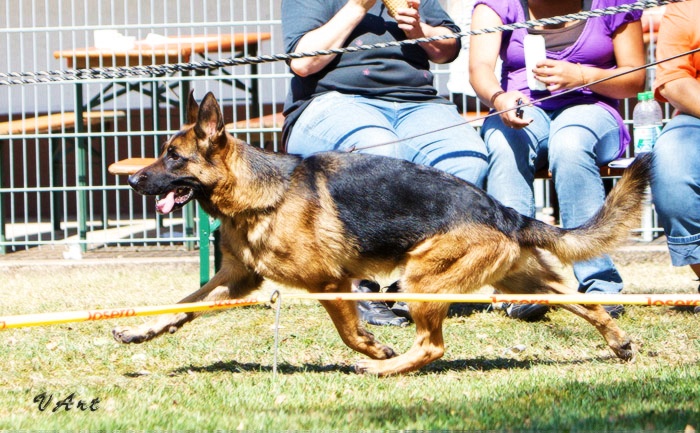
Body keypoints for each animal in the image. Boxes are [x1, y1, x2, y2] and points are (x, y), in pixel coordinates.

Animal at [112, 92, 652, 374]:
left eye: (173, 157)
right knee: (583, 301)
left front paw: (373, 349)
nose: (133, 180)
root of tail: (502, 210)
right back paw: (619, 343)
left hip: (420, 280)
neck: (259, 193)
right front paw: (139, 329)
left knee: (432, 347)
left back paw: (381, 368)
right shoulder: (234, 279)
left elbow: (350, 330)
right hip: (520, 281)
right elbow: (180, 306)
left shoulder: (331, 284)